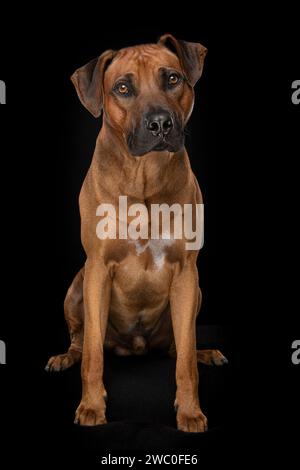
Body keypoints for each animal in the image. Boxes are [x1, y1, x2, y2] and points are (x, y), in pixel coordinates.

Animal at [45, 34, 226, 434]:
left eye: (172, 78)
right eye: (123, 88)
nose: (160, 124)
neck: (144, 176)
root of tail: (137, 346)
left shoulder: (186, 272)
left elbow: (184, 361)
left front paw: (190, 411)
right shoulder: (97, 269)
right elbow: (93, 356)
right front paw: (91, 407)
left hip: (194, 295)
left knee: (177, 347)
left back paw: (205, 352)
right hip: (77, 285)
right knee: (81, 341)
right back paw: (65, 357)